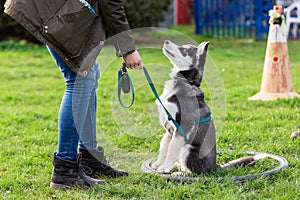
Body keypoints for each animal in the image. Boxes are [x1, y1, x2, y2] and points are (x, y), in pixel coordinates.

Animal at [151, 40, 217, 173]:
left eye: (185, 50)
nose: (166, 41)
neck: (184, 80)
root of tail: (215, 166)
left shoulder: (183, 127)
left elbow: (171, 150)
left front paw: (163, 168)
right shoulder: (169, 128)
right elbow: (164, 146)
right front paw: (158, 164)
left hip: (188, 149)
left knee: (195, 172)